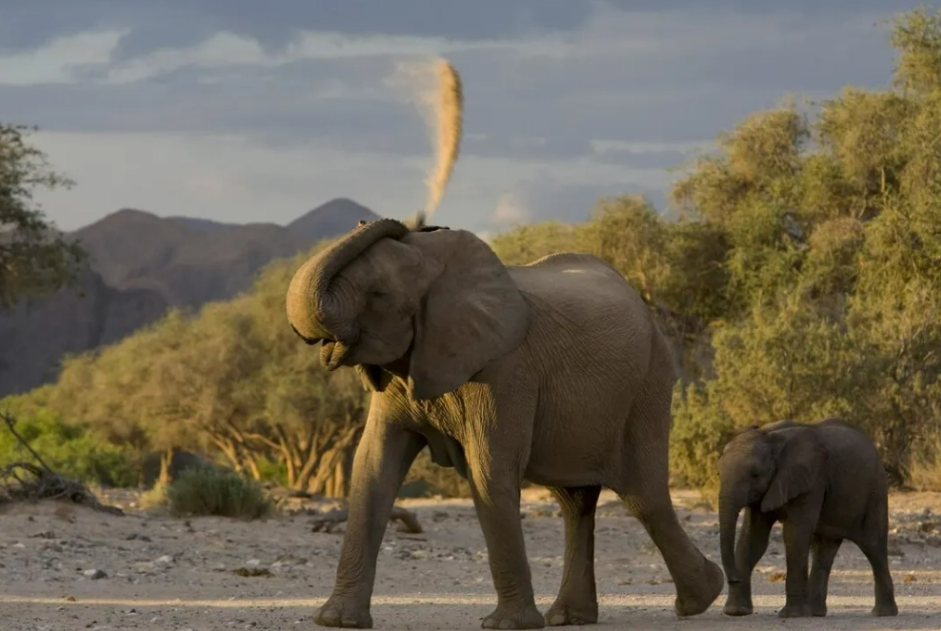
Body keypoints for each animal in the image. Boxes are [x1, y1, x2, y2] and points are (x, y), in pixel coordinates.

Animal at [284, 216, 720, 628]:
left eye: (378, 296)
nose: (381, 222)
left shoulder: (507, 369)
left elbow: (489, 471)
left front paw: (507, 625)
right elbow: (373, 469)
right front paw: (337, 621)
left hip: (649, 383)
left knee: (643, 496)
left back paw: (703, 599)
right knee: (576, 502)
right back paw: (570, 617)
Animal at [720, 418, 896, 620]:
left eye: (755, 475)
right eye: (718, 473)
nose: (733, 579)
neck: (771, 439)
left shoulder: (811, 482)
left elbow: (794, 535)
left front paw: (791, 615)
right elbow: (753, 539)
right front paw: (736, 612)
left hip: (875, 492)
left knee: (873, 546)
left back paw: (883, 613)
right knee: (824, 549)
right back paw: (814, 613)